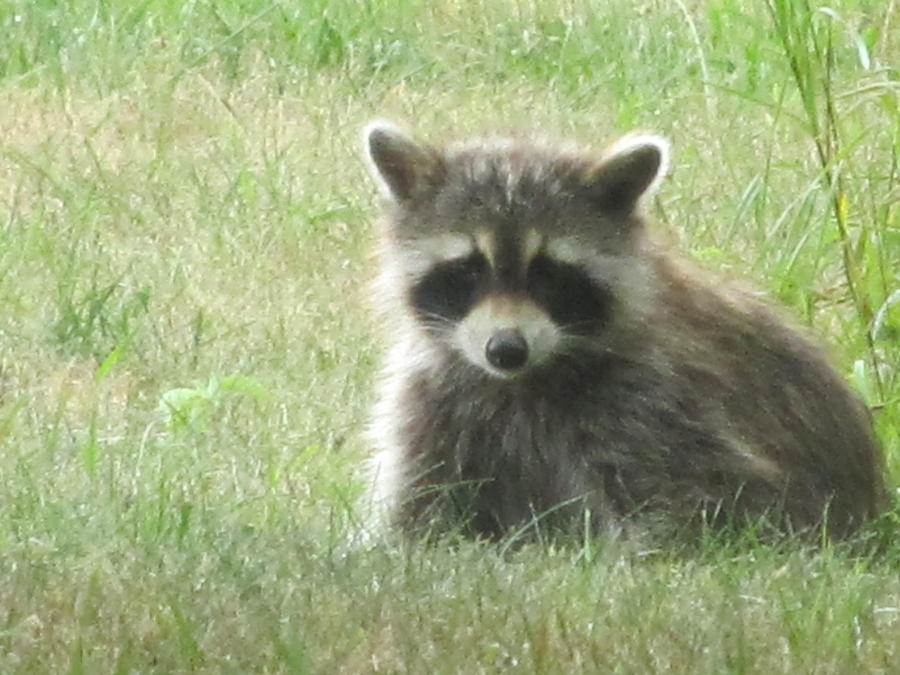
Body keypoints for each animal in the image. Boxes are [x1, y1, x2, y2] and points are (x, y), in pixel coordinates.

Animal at [361, 119, 883, 542]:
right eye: (469, 270)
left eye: (548, 273)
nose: (506, 349)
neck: (524, 379)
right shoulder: (435, 396)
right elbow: (421, 512)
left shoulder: (653, 397)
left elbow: (710, 502)